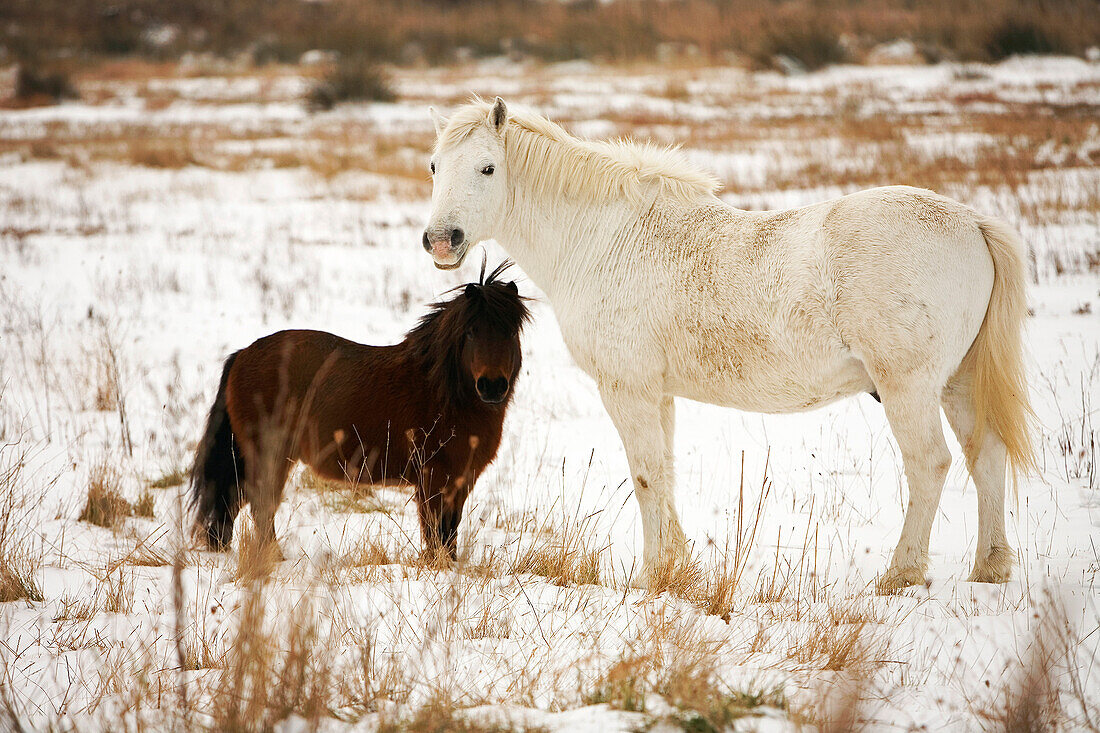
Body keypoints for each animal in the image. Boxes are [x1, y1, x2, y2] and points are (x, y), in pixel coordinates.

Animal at [191, 264, 530, 559]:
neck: (443, 392)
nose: (492, 386)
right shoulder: (433, 480)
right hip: (268, 455)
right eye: (471, 332)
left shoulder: (460, 480)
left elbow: (450, 532)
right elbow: (437, 533)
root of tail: (242, 354)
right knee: (261, 507)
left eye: (511, 333)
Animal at [420, 96, 1029, 589]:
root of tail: (971, 223)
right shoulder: (657, 393)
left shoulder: (627, 390)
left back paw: (901, 574)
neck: (602, 237)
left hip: (909, 388)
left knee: (930, 463)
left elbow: (646, 475)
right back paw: (991, 568)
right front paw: (676, 567)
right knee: (986, 455)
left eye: (487, 167)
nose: (441, 241)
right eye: (433, 166)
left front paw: (650, 577)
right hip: (957, 383)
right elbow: (664, 472)